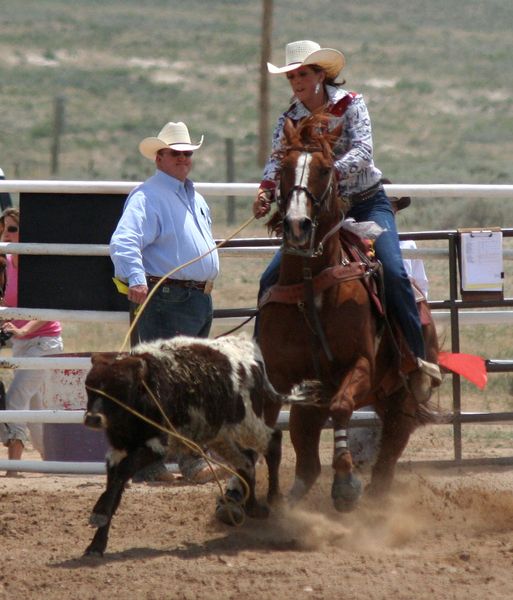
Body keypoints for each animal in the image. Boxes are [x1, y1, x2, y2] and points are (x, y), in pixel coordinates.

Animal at [82, 336, 302, 556]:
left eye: (119, 389)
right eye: (89, 387)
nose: (93, 418)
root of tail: (249, 349)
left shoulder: (157, 445)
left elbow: (123, 472)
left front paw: (98, 514)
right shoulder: (117, 452)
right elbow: (115, 487)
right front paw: (96, 544)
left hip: (247, 423)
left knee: (273, 441)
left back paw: (275, 498)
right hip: (221, 437)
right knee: (246, 462)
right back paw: (253, 506)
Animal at [258, 113, 442, 510]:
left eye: (326, 169)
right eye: (282, 168)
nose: (297, 225)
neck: (313, 284)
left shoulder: (361, 363)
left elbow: (343, 407)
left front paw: (344, 483)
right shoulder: (281, 375)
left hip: (400, 400)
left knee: (389, 454)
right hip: (316, 402)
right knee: (307, 459)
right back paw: (293, 498)